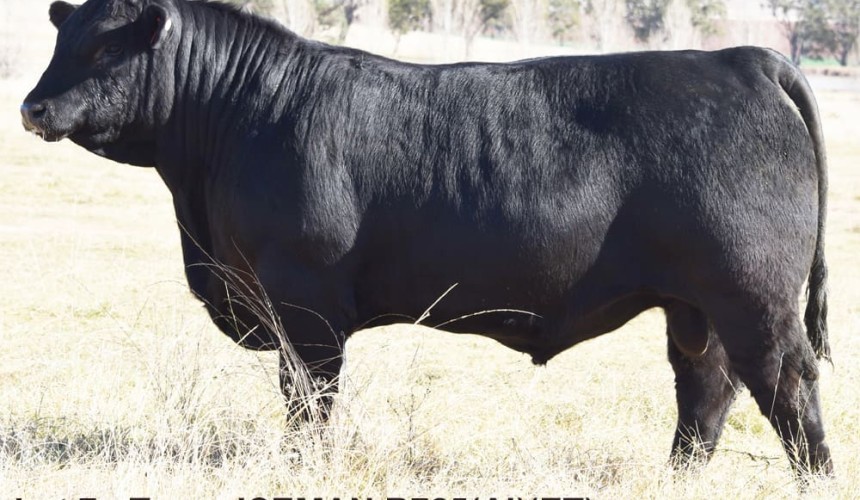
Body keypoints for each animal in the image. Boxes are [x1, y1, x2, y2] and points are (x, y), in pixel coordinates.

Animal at [21, 0, 832, 478]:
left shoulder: (305, 304)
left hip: (754, 298)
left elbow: (309, 397)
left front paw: (306, 466)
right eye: (65, 37)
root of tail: (739, 58)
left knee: (787, 388)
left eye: (104, 49)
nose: (32, 107)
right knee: (706, 390)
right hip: (697, 307)